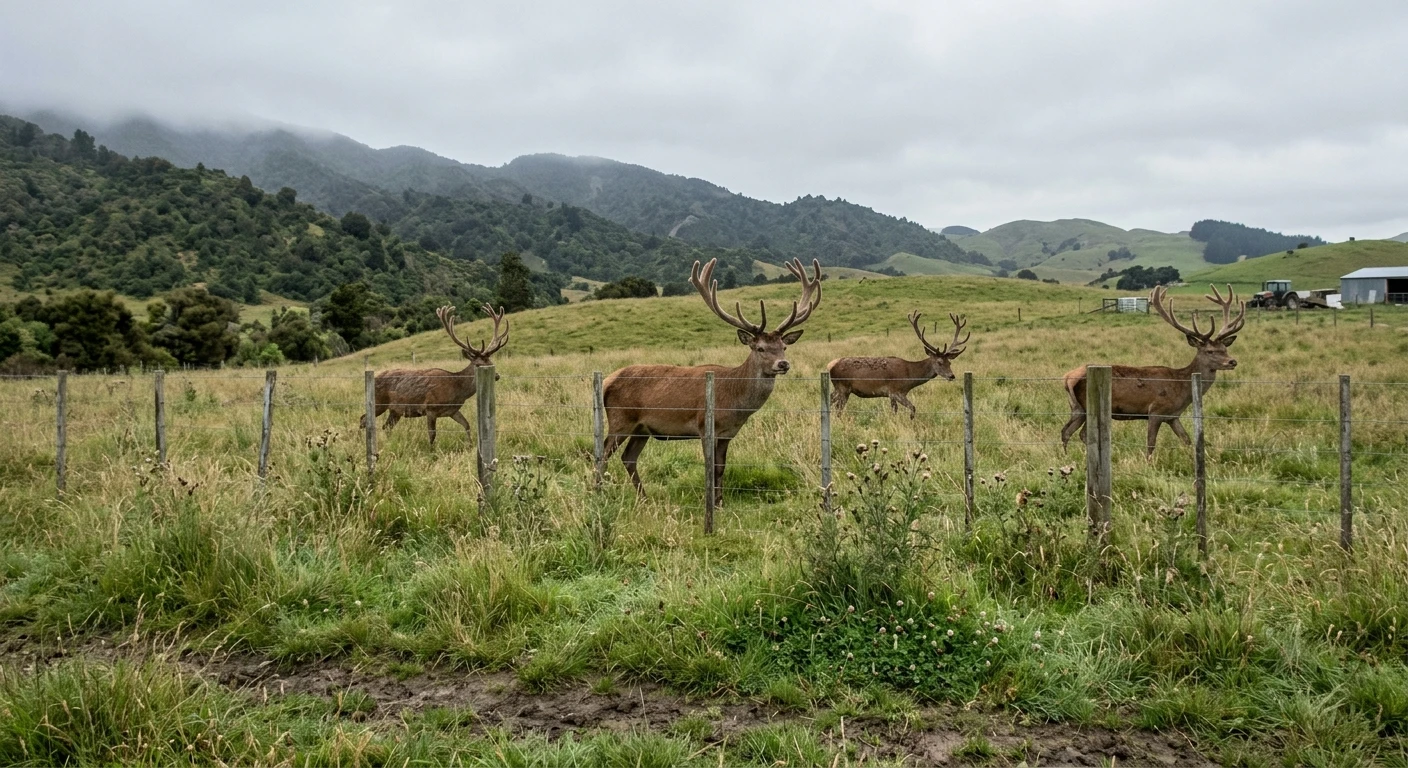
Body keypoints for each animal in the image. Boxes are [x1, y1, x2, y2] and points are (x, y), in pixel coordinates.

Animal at [359, 303, 508, 446]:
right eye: (478, 364)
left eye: (491, 361)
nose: (497, 376)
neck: (457, 389)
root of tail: (372, 379)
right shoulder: (430, 408)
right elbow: (432, 434)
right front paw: (431, 450)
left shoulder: (453, 411)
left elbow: (467, 425)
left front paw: (471, 445)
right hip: (378, 402)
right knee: (364, 419)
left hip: (395, 410)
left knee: (386, 427)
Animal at [602, 257, 822, 505]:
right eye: (760, 348)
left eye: (784, 346)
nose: (783, 364)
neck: (734, 403)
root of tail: (606, 381)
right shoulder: (704, 426)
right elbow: (708, 466)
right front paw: (709, 502)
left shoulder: (728, 433)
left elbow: (720, 467)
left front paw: (719, 503)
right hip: (620, 419)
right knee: (601, 454)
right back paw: (597, 492)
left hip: (641, 429)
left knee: (628, 457)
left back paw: (644, 499)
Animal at [825, 311, 969, 418]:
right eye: (939, 362)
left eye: (949, 362)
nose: (951, 376)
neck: (909, 377)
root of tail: (830, 365)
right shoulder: (895, 391)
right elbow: (911, 408)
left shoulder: (894, 394)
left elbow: (898, 410)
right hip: (843, 387)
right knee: (838, 408)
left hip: (839, 388)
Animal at [1060, 284, 1246, 459]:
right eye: (1210, 351)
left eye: (1225, 348)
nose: (1232, 361)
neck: (1182, 387)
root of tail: (1068, 378)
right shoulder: (1155, 411)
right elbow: (1151, 443)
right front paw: (1149, 464)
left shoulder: (1173, 416)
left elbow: (1186, 440)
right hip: (1087, 406)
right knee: (1082, 433)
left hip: (1077, 408)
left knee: (1066, 431)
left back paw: (1066, 456)